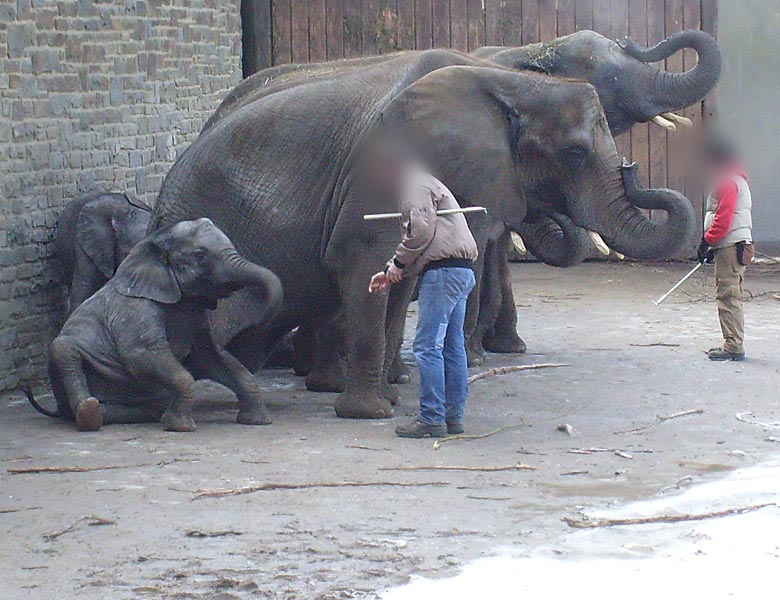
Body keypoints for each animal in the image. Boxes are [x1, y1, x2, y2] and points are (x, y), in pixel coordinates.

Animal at [25, 218, 284, 434]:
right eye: (200, 255)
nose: (259, 327)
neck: (153, 247)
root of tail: (57, 408)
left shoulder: (196, 315)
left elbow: (210, 357)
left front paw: (257, 421)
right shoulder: (136, 309)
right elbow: (141, 355)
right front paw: (181, 428)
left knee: (142, 408)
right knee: (63, 348)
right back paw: (88, 413)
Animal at [154, 49, 696, 420]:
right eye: (576, 154)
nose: (634, 171)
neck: (508, 81)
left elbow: (402, 277)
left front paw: (391, 395)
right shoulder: (383, 173)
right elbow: (364, 263)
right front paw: (371, 412)